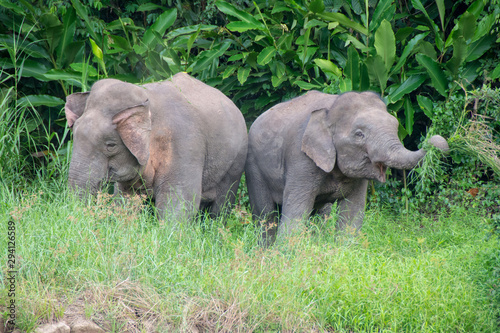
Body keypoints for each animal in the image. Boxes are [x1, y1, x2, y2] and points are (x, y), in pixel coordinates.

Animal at [64, 71, 248, 219]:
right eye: (75, 136)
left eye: (110, 145)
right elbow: (126, 196)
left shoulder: (185, 144)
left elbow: (180, 199)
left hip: (235, 162)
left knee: (221, 205)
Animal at [247, 89, 450, 243]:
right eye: (359, 134)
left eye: (395, 125)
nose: (435, 140)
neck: (331, 108)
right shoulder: (301, 158)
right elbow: (296, 211)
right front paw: (287, 255)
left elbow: (352, 213)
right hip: (254, 167)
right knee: (266, 214)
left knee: (320, 213)